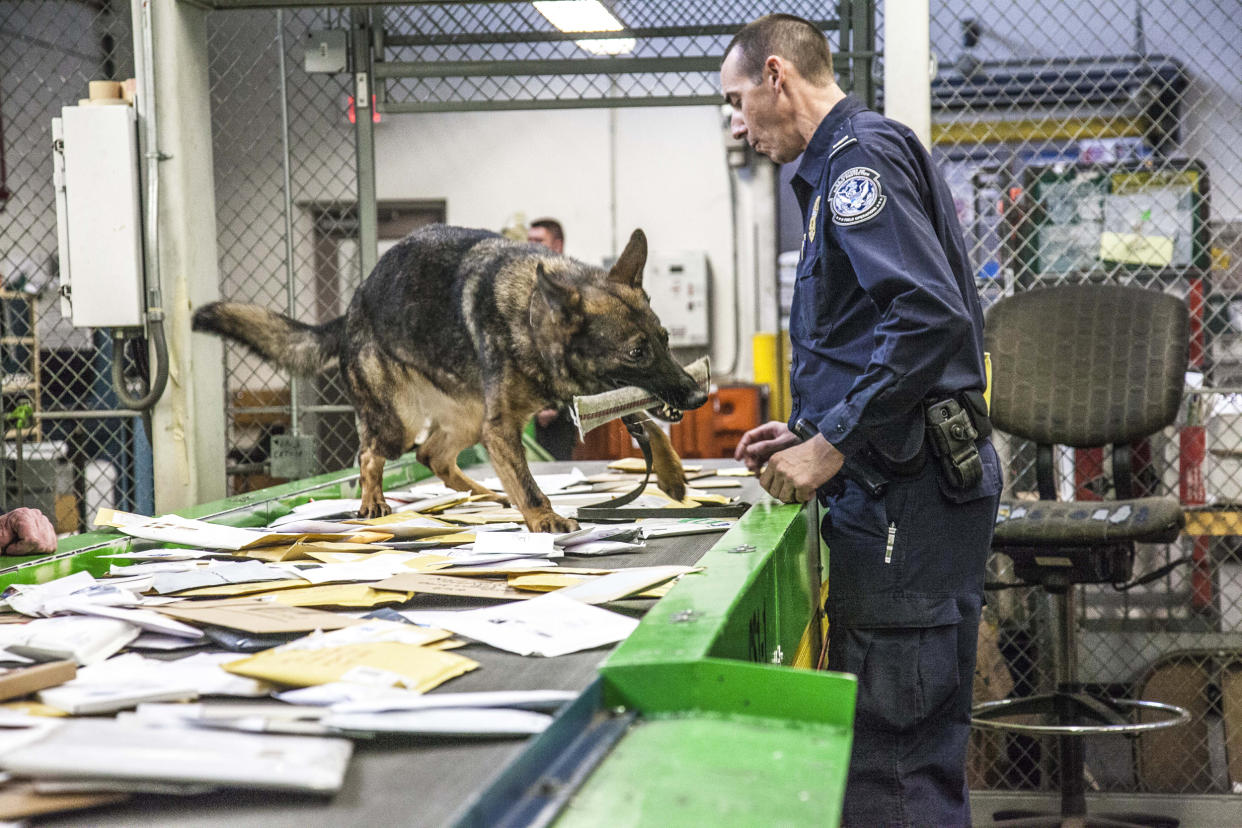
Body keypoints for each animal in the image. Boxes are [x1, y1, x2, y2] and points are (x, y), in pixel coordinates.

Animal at [190, 223, 705, 531]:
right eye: (637, 352)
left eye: (664, 339)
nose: (698, 395)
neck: (531, 313)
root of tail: (352, 306)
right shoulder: (503, 427)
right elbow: (529, 482)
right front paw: (544, 518)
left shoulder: (579, 401)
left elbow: (648, 424)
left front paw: (672, 473)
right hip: (400, 423)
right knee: (373, 454)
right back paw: (374, 501)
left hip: (467, 420)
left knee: (433, 456)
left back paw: (489, 494)